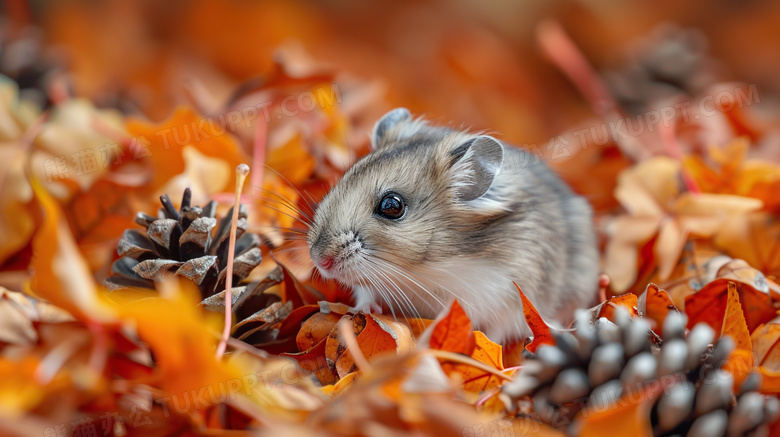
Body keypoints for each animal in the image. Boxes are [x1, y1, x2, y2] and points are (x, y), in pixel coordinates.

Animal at [304, 107, 596, 342]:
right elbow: (366, 295)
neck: (427, 271)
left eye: (392, 206)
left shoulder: (506, 298)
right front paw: (362, 311)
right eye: (345, 177)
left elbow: (493, 335)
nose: (319, 260)